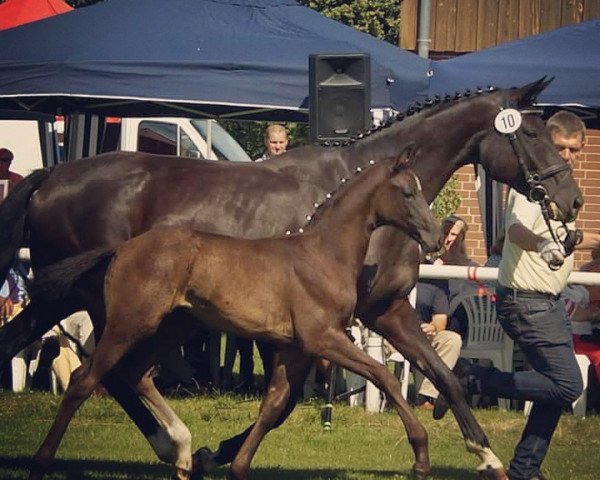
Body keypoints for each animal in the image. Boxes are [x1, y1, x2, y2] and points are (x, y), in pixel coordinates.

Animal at [0, 77, 584, 478]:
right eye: (534, 133)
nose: (572, 201)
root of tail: (51, 175)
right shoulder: (333, 327)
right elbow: (290, 402)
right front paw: (220, 452)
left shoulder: (385, 311)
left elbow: (444, 376)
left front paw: (485, 454)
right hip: (97, 303)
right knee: (99, 370)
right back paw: (173, 446)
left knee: (100, 367)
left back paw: (176, 446)